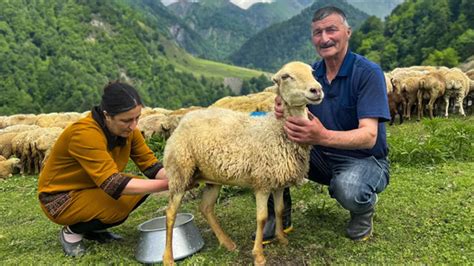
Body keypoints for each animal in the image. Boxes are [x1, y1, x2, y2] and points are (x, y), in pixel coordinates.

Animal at [162, 61, 322, 266]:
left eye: (312, 72)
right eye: (286, 76)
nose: (317, 89)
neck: (276, 129)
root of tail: (185, 120)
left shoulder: (278, 182)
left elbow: (279, 210)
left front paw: (282, 239)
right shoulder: (262, 183)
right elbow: (262, 218)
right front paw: (259, 255)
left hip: (212, 178)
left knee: (205, 208)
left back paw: (227, 243)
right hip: (179, 172)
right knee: (170, 213)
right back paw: (168, 258)